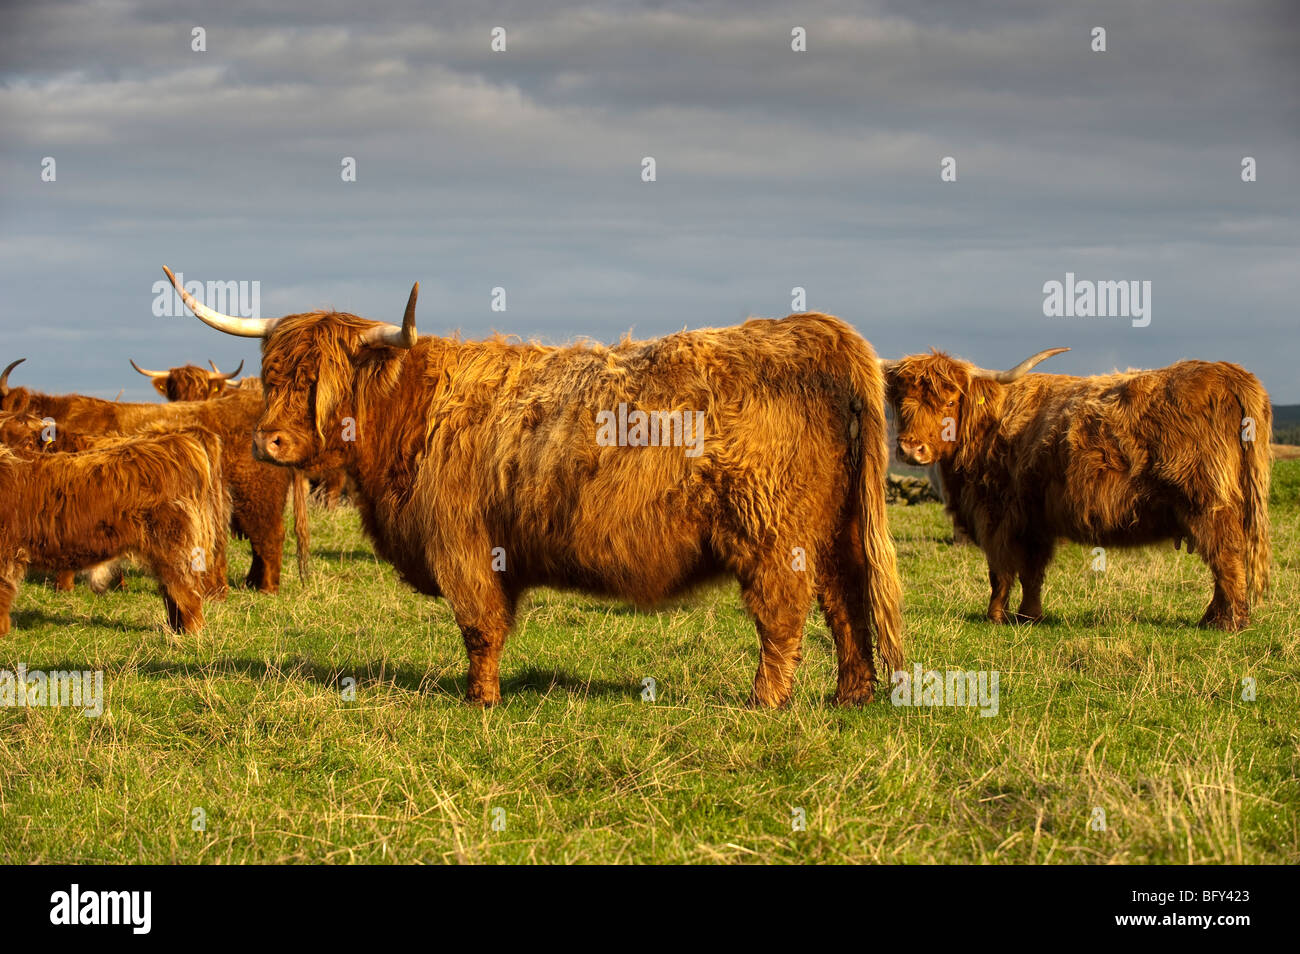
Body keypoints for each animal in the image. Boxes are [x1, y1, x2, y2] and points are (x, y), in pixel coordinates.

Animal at [0, 428, 229, 635]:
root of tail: (172, 444)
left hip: (174, 546)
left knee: (186, 591)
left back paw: (190, 634)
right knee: (170, 591)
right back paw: (175, 629)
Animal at [165, 265, 903, 707]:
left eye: (322, 383)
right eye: (273, 375)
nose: (268, 442)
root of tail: (818, 332)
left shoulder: (463, 545)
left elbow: (479, 626)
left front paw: (480, 700)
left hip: (773, 536)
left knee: (783, 616)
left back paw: (763, 702)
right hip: (834, 531)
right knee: (846, 604)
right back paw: (851, 696)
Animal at [883, 348, 1271, 631]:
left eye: (949, 402)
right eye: (901, 404)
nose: (911, 449)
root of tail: (1229, 373)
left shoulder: (996, 515)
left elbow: (1001, 571)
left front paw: (995, 616)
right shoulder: (1034, 520)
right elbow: (1032, 571)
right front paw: (1029, 616)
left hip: (1208, 503)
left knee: (1226, 557)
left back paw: (1228, 623)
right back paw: (1214, 619)